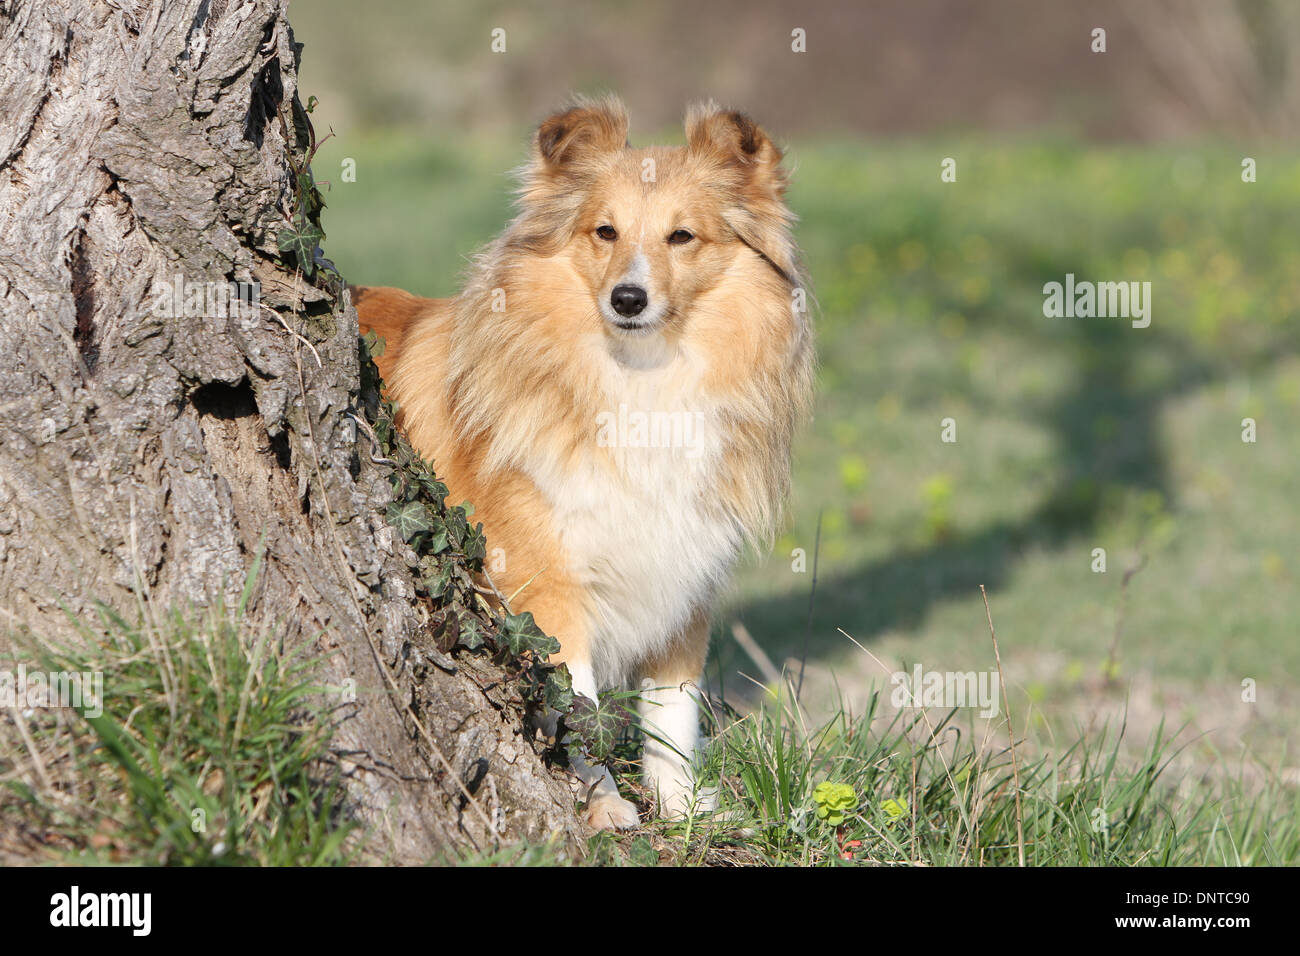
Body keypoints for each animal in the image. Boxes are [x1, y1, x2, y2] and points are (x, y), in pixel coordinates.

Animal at [356, 97, 811, 832]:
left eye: (682, 237)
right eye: (605, 231)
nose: (628, 299)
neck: (640, 381)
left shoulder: (681, 579)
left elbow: (673, 711)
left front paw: (682, 808)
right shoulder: (544, 587)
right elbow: (578, 704)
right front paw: (602, 805)